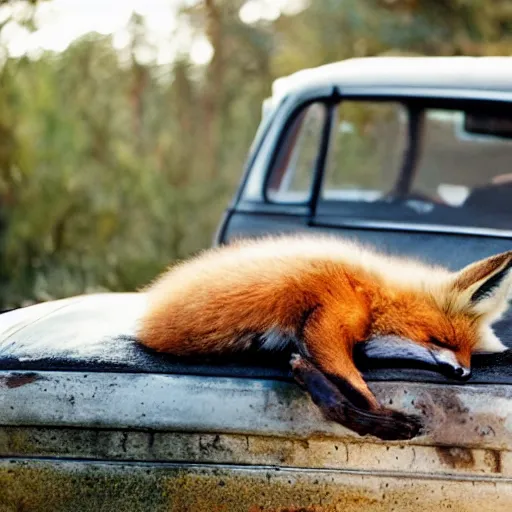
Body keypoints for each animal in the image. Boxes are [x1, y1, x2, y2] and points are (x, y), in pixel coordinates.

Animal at [136, 235, 512, 440]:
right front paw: (384, 419)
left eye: (469, 352)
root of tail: (148, 318)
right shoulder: (330, 317)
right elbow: (356, 389)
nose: (465, 373)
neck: (374, 299)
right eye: (442, 340)